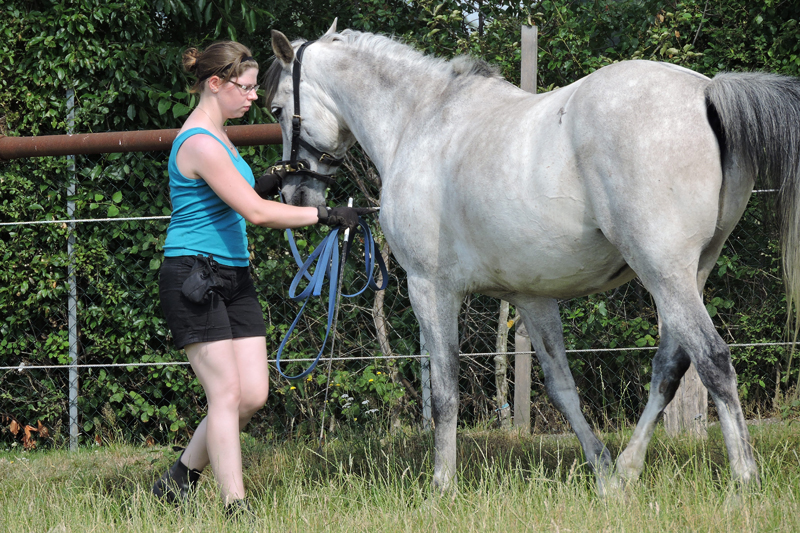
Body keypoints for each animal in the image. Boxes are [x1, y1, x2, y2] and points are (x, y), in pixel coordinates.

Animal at [264, 22, 800, 492]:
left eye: (275, 109)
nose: (294, 194)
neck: (421, 121)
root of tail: (707, 91)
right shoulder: (532, 298)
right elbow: (562, 389)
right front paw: (602, 474)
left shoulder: (429, 288)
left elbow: (444, 392)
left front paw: (441, 485)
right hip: (691, 272)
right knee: (670, 366)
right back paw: (627, 471)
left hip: (664, 272)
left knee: (713, 361)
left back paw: (743, 483)